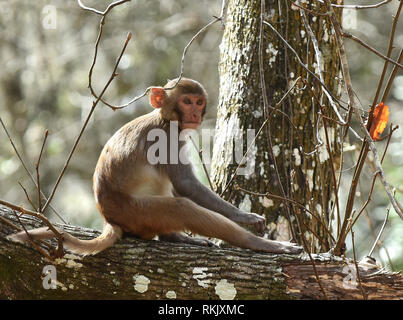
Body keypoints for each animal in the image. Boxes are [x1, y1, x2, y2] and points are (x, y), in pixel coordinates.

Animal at [7, 77, 304, 255]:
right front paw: (246, 218)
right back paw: (261, 245)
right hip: (139, 212)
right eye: (187, 101)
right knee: (180, 206)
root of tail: (109, 218)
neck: (165, 118)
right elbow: (186, 185)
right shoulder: (168, 139)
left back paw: (175, 238)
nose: (195, 113)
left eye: (198, 102)